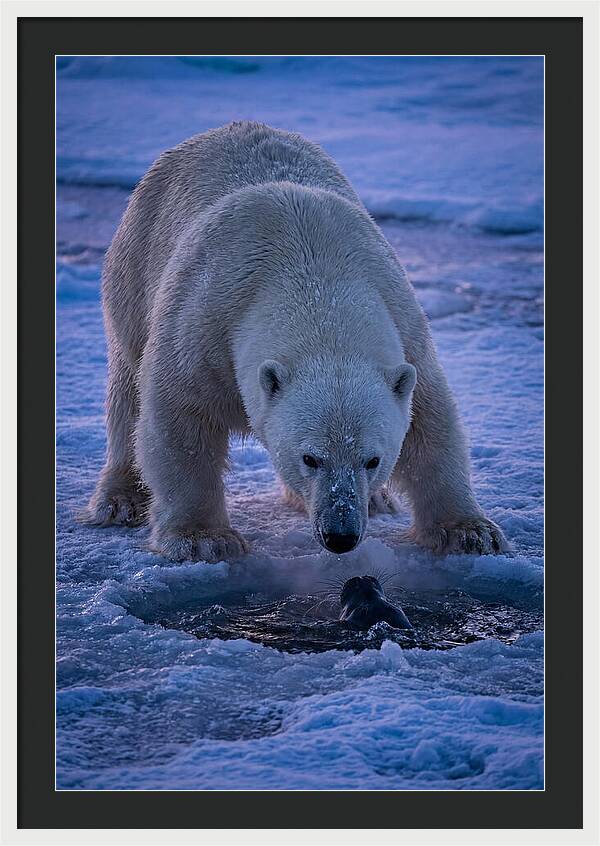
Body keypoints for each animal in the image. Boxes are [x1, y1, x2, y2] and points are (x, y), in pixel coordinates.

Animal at [84, 121, 508, 562]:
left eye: (372, 459)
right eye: (311, 458)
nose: (341, 535)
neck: (313, 273)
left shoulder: (404, 325)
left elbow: (430, 421)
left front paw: (470, 532)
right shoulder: (204, 323)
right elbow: (180, 419)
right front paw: (203, 539)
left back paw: (377, 500)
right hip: (135, 267)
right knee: (127, 388)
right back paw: (120, 499)